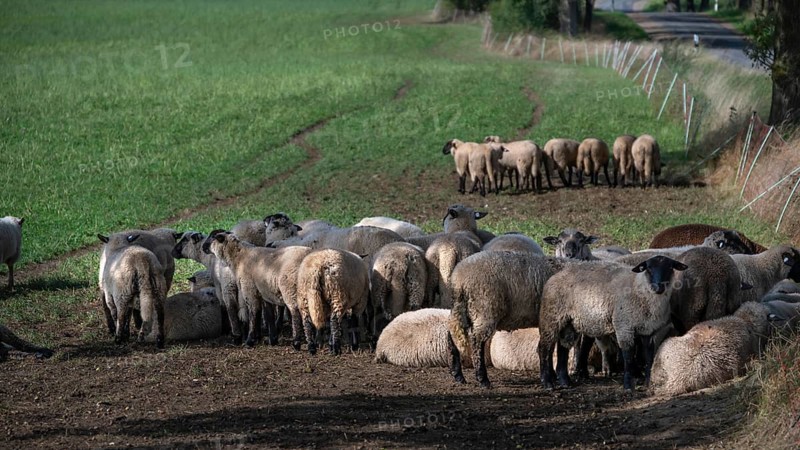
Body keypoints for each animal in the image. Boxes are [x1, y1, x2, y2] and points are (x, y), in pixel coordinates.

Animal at [447, 251, 569, 387]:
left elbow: (552, 347)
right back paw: (482, 379)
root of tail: (458, 278)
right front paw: (561, 379)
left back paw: (458, 375)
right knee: (477, 341)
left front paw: (553, 376)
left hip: (461, 308)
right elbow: (561, 350)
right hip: (485, 308)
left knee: (452, 335)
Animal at [537, 256, 688, 390]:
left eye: (670, 268)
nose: (658, 288)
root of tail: (556, 276)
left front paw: (648, 382)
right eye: (649, 268)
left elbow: (649, 356)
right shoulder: (624, 325)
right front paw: (628, 385)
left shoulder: (649, 330)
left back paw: (565, 382)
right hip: (551, 317)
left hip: (569, 322)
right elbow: (628, 356)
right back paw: (548, 383)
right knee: (544, 348)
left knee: (563, 347)